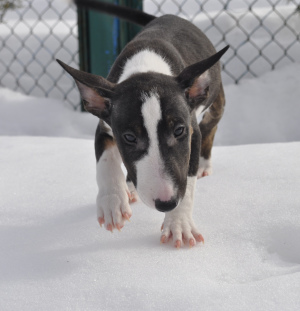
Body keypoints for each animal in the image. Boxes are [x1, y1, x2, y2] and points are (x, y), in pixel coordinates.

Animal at [56, 0, 230, 249]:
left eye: (179, 130)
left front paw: (179, 224)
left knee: (211, 127)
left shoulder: (192, 131)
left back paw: (205, 165)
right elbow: (106, 163)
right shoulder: (105, 126)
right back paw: (128, 189)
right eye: (129, 137)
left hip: (216, 104)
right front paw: (112, 204)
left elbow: (187, 179)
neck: (146, 68)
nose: (166, 203)